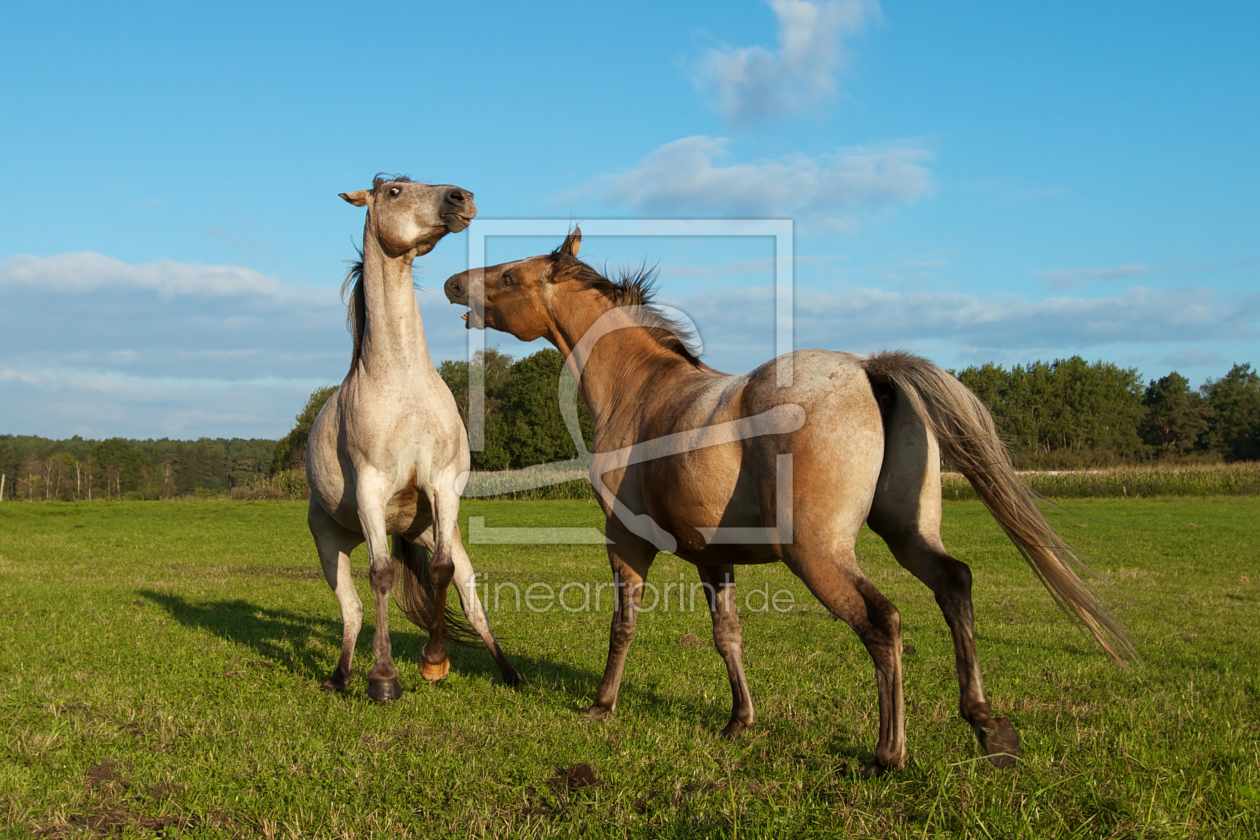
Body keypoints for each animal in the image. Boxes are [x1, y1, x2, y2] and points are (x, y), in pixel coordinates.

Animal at [307, 176, 519, 705]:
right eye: (395, 191)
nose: (462, 198)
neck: (402, 382)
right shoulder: (370, 487)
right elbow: (381, 576)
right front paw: (384, 678)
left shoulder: (443, 485)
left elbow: (443, 574)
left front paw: (434, 661)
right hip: (332, 541)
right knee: (353, 609)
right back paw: (340, 675)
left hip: (432, 528)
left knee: (470, 596)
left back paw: (510, 673)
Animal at [446, 227, 1134, 775]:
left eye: (507, 275)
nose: (454, 283)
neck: (643, 391)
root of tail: (870, 370)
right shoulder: (711, 557)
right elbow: (728, 635)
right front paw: (738, 721)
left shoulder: (628, 544)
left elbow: (623, 626)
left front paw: (601, 706)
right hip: (908, 535)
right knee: (954, 585)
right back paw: (988, 727)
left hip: (820, 555)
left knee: (884, 621)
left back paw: (888, 753)